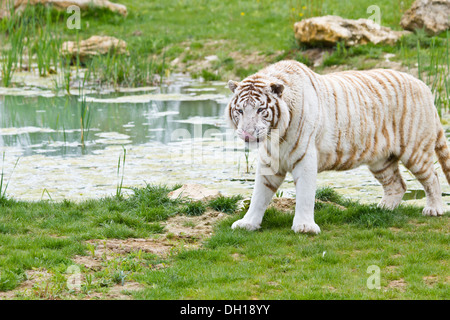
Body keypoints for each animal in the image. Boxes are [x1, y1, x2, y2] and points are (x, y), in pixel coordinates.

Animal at [227, 60, 448, 234]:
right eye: (240, 110)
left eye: (260, 110)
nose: (247, 134)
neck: (276, 136)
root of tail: (424, 86)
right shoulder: (270, 161)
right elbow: (259, 194)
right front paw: (247, 223)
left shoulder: (305, 158)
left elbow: (305, 194)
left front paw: (305, 227)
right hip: (381, 160)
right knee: (397, 184)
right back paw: (381, 209)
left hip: (415, 150)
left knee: (433, 177)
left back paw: (434, 209)